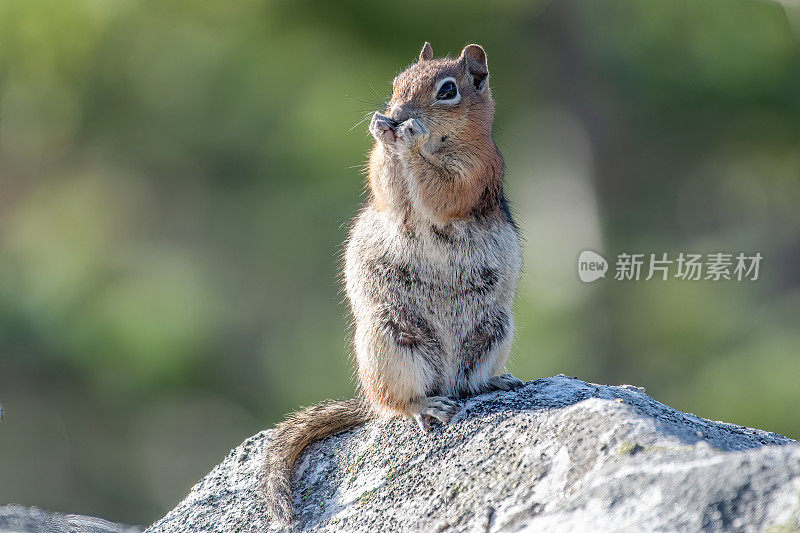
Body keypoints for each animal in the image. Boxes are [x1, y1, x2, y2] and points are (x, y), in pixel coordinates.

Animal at [262, 42, 524, 524]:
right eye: (396, 83)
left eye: (447, 90)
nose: (396, 114)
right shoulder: (388, 188)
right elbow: (384, 181)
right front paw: (381, 132)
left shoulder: (476, 169)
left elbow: (444, 190)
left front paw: (410, 135)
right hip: (390, 340)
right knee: (397, 405)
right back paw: (424, 406)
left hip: (494, 330)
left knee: (466, 384)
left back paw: (492, 383)